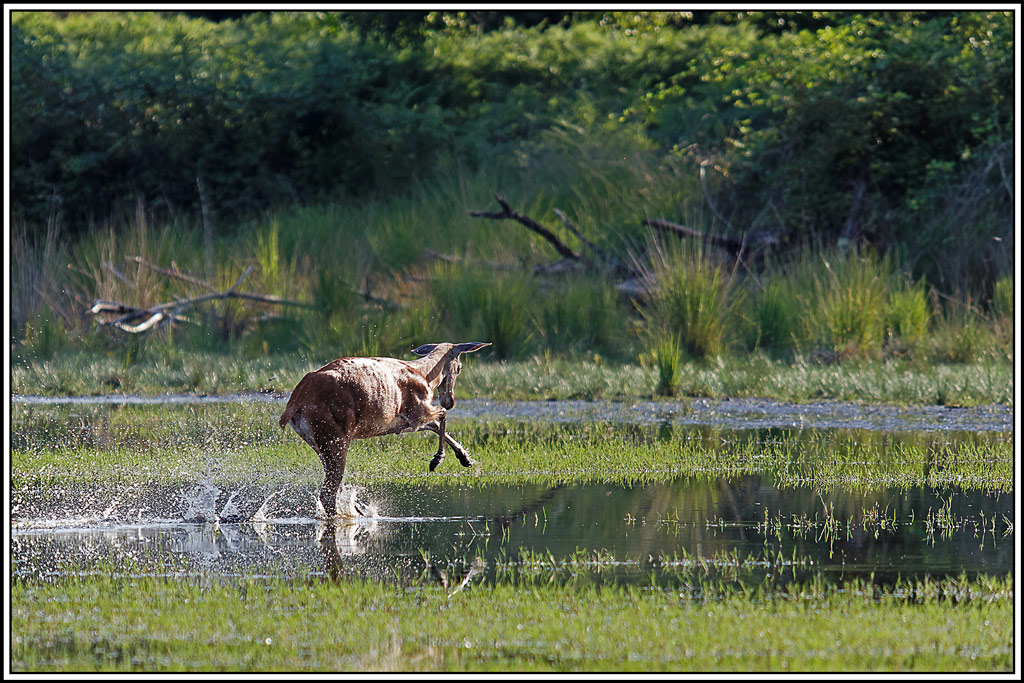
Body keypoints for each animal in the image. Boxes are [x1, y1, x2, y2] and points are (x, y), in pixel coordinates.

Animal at [279, 342, 490, 517]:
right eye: (460, 368)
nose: (450, 401)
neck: (426, 377)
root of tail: (294, 404)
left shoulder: (402, 422)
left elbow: (435, 425)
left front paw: (465, 458)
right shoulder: (416, 411)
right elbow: (441, 416)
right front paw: (437, 460)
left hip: (317, 442)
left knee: (330, 488)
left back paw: (357, 510)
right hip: (333, 435)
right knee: (327, 493)